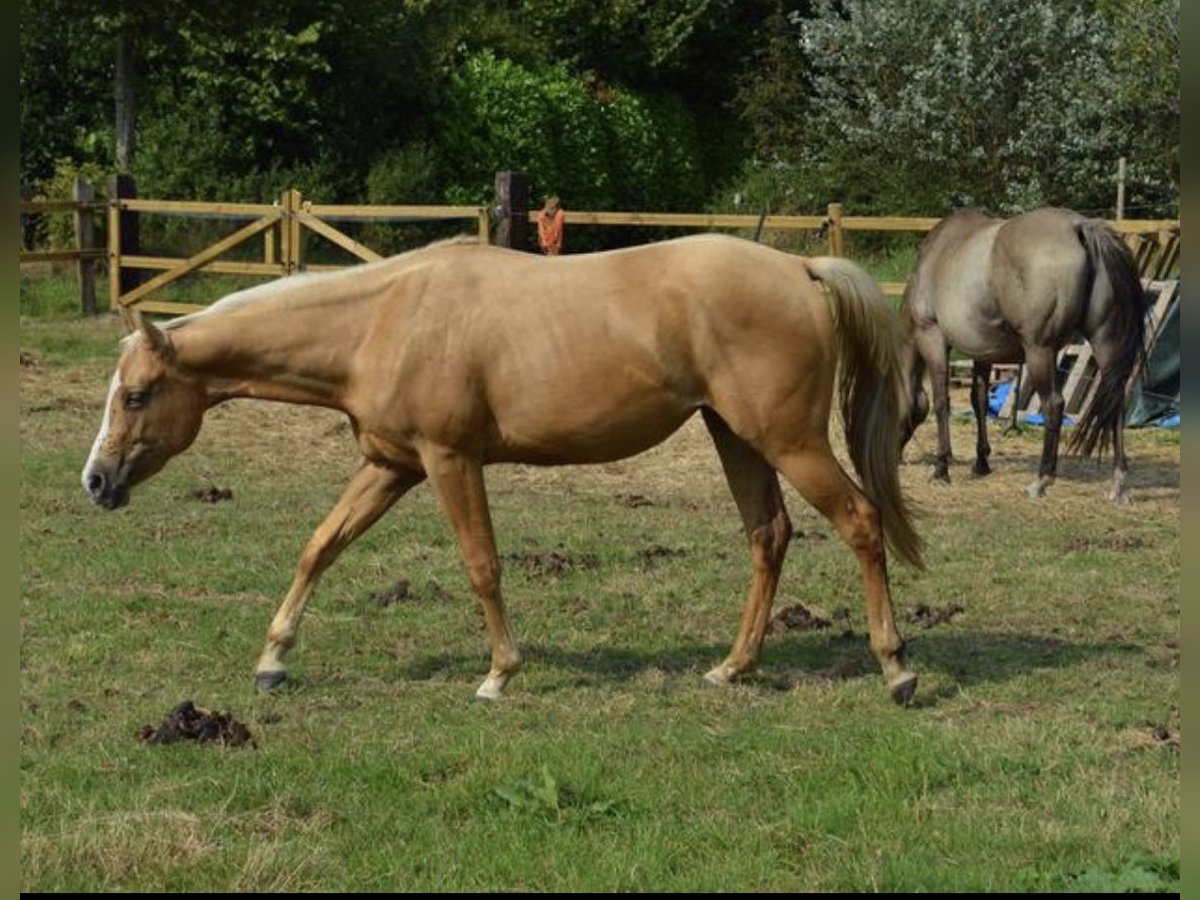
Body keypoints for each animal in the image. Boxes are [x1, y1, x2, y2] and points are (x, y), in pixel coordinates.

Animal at [84, 236, 921, 710]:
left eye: (136, 395)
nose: (96, 481)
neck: (381, 321)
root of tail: (800, 268)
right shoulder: (390, 465)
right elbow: (320, 546)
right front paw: (272, 661)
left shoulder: (449, 460)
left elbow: (482, 565)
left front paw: (498, 675)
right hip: (737, 436)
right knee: (768, 535)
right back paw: (733, 668)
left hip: (785, 439)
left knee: (859, 521)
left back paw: (896, 670)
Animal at [902, 211, 1142, 504]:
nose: (897, 457)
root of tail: (1080, 226)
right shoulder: (984, 354)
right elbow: (979, 401)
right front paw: (982, 461)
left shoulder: (933, 337)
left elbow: (941, 402)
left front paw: (941, 468)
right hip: (1104, 344)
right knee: (1116, 403)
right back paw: (1119, 483)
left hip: (1040, 351)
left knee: (1054, 405)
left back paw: (1042, 479)